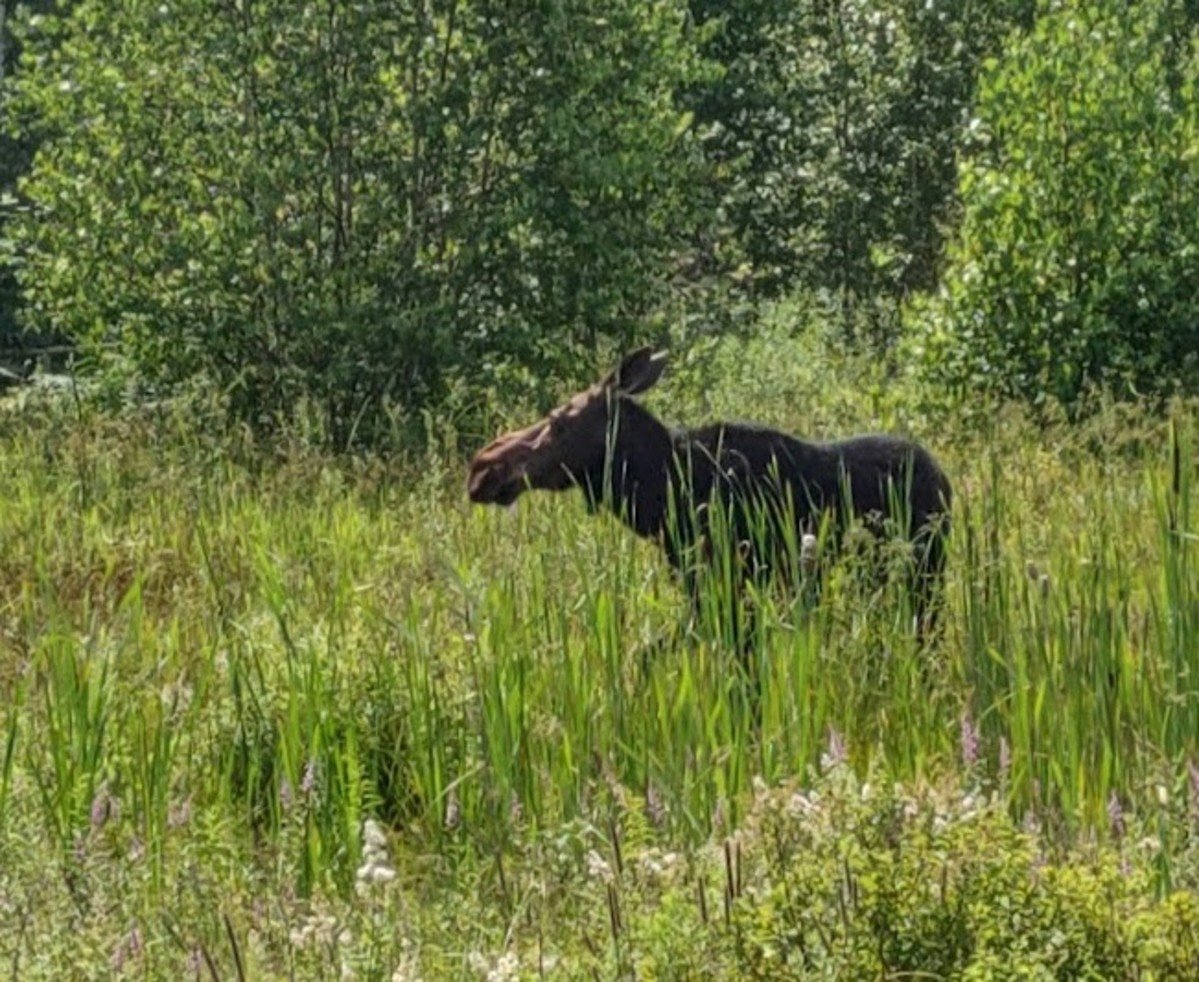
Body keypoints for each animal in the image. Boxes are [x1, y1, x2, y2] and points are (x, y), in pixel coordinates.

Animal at [467, 347, 952, 653]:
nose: (482, 466)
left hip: (923, 579)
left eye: (557, 421)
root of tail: (946, 483)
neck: (661, 496)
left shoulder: (731, 585)